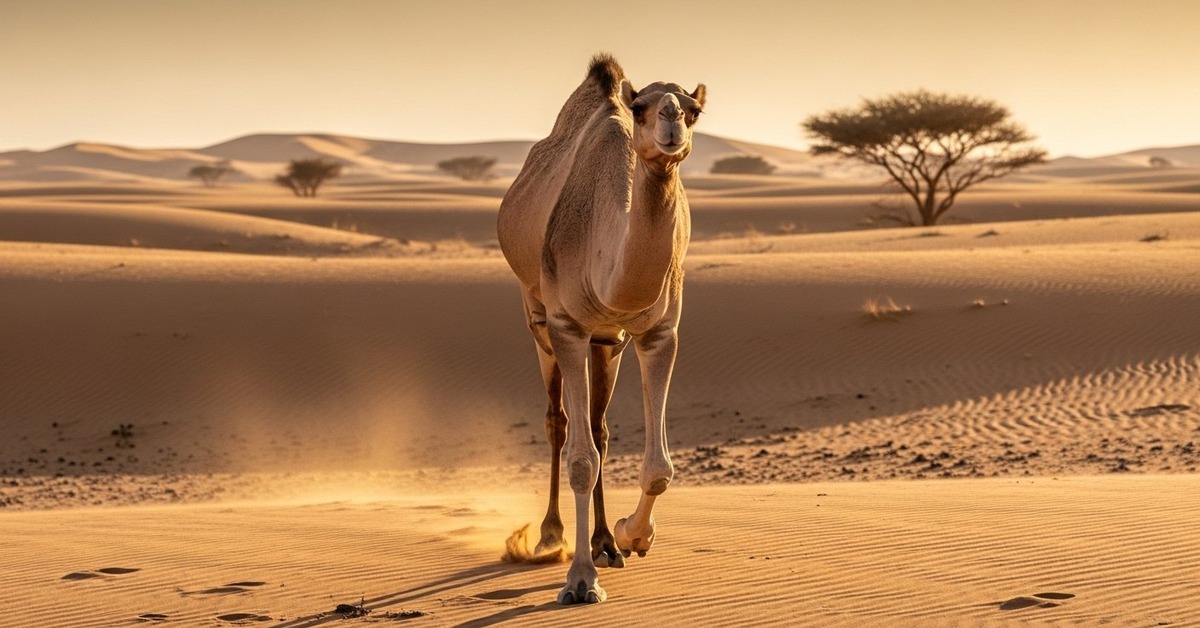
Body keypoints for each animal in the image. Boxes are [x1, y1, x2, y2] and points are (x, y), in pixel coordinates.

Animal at [496, 54, 705, 604]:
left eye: (695, 109)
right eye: (640, 107)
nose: (671, 120)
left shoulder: (658, 333)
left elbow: (658, 467)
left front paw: (634, 536)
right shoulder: (567, 326)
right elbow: (580, 460)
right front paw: (579, 580)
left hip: (607, 341)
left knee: (598, 427)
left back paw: (606, 541)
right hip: (537, 315)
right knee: (559, 422)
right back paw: (551, 536)